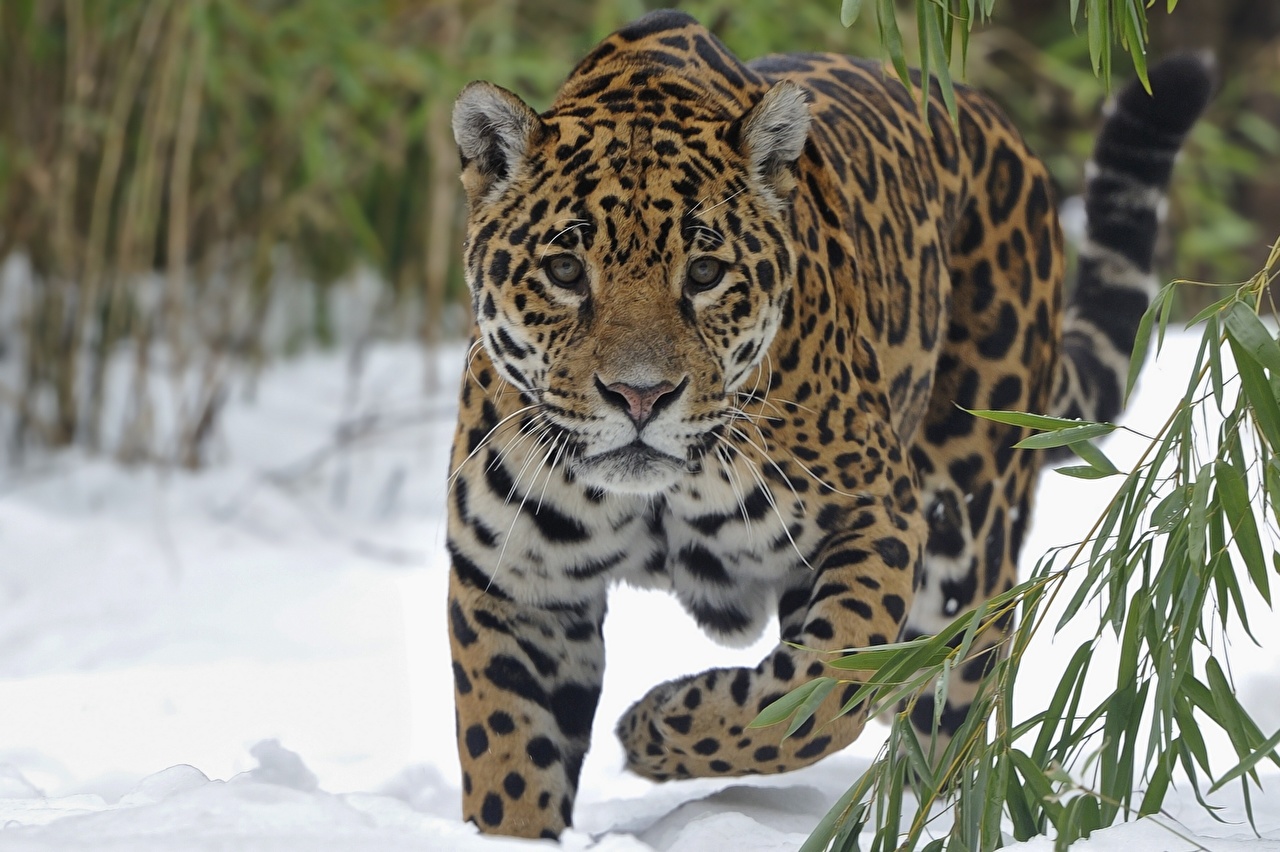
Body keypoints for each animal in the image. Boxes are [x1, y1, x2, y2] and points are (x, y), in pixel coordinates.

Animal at [445, 10, 1212, 839]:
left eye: (705, 274)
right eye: (563, 271)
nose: (640, 396)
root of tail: (998, 125)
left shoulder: (877, 516)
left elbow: (814, 694)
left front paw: (655, 727)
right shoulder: (515, 583)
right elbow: (507, 756)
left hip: (962, 541)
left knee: (951, 707)